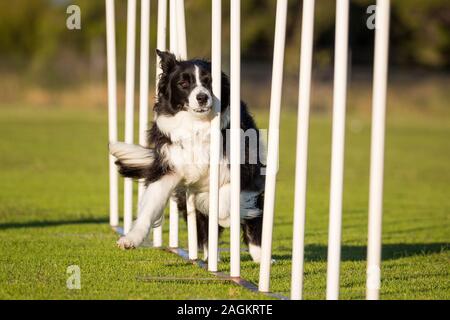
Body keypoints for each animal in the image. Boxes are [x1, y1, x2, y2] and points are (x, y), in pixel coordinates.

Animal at [110, 49, 266, 260]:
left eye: (209, 82)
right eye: (183, 83)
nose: (202, 97)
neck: (197, 124)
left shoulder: (245, 167)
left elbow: (225, 196)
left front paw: (224, 215)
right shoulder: (169, 166)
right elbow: (150, 205)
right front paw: (131, 239)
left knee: (253, 220)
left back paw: (261, 257)